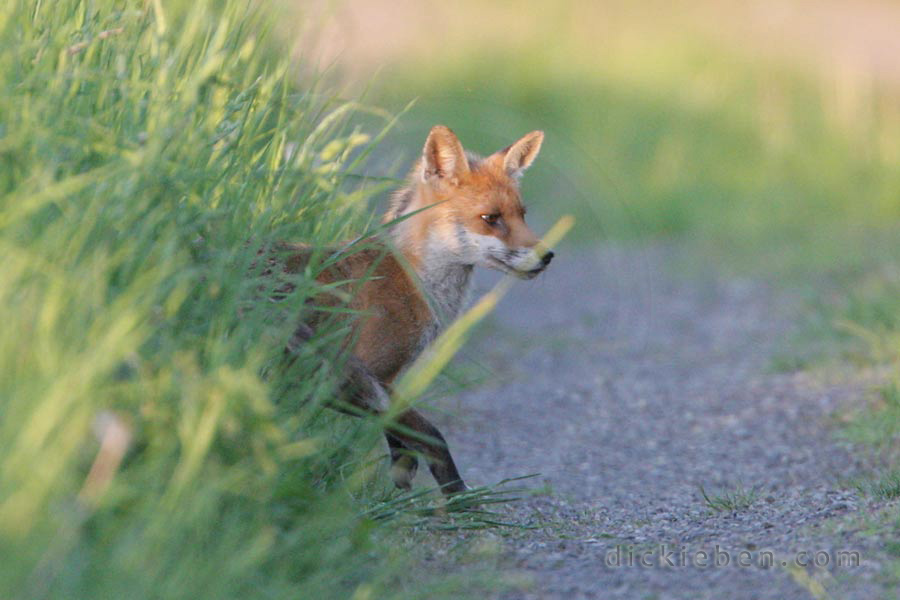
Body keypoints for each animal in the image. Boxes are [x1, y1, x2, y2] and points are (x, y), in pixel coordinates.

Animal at [282, 124, 552, 494]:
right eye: (491, 218)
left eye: (522, 215)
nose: (547, 256)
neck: (411, 280)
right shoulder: (360, 375)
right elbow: (428, 434)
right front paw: (457, 495)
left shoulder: (375, 380)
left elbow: (401, 430)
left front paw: (403, 470)